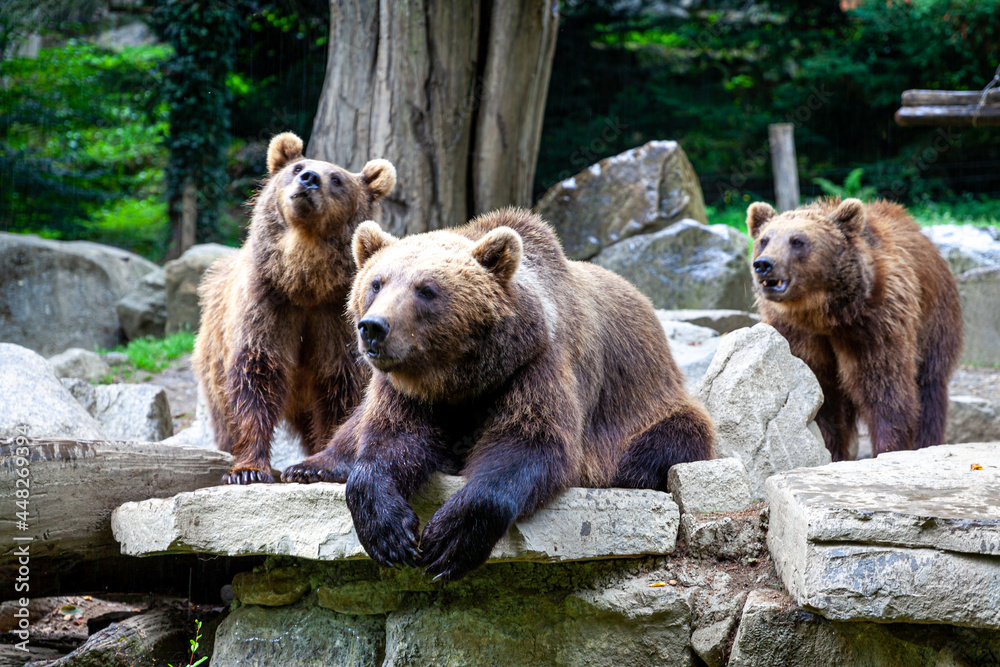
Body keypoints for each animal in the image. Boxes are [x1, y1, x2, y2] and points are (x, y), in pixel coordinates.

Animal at [192, 132, 397, 484]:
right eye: (297, 167)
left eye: (337, 178)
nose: (310, 178)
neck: (304, 283)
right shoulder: (268, 304)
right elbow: (255, 374)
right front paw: (247, 470)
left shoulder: (333, 316)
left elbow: (339, 385)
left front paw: (316, 464)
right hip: (211, 359)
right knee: (222, 413)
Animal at [283, 207, 716, 581]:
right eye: (376, 283)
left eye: (426, 289)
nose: (373, 327)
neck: (459, 378)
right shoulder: (405, 389)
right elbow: (392, 439)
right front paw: (389, 531)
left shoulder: (536, 365)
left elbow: (530, 442)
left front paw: (449, 539)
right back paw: (309, 467)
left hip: (649, 402)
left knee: (663, 442)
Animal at [746, 197, 963, 461]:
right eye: (764, 240)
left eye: (797, 241)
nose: (764, 264)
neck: (824, 315)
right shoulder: (796, 334)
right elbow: (821, 398)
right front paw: (830, 450)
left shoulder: (876, 323)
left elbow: (884, 387)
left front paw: (888, 448)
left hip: (935, 321)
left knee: (929, 388)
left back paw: (927, 442)